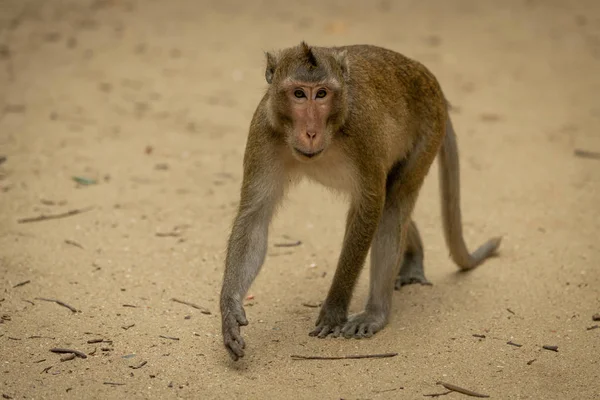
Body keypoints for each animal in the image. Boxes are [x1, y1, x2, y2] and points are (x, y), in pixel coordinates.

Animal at [219, 42, 502, 360]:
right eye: (299, 94)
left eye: (322, 94)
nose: (311, 131)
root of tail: (432, 84)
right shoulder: (264, 130)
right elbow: (255, 217)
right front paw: (230, 311)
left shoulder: (362, 130)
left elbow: (371, 206)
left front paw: (334, 310)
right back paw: (413, 259)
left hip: (428, 131)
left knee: (392, 205)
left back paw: (376, 312)